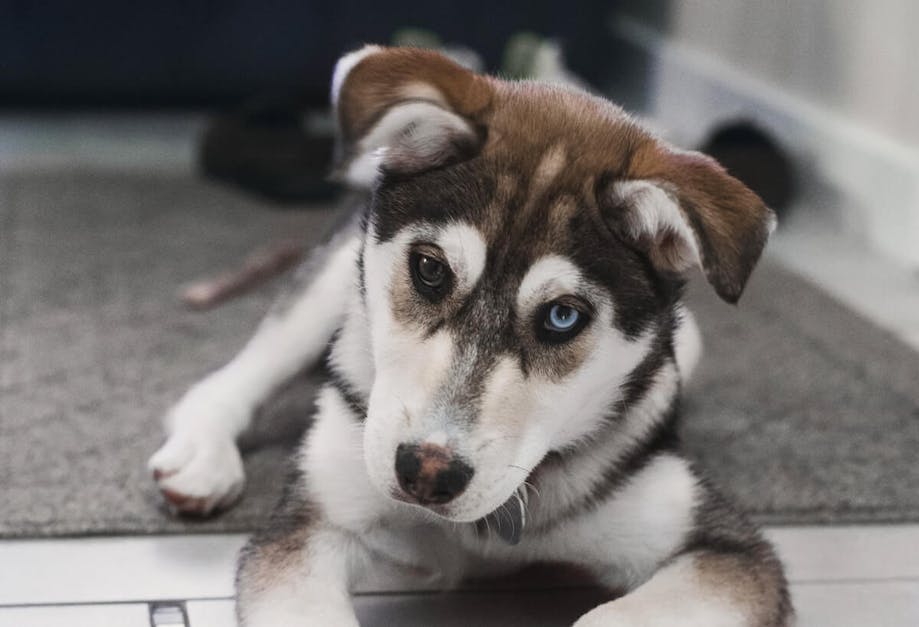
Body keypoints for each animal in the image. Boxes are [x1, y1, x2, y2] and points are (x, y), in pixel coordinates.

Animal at [149, 45, 792, 627]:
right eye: (430, 269)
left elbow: (611, 615)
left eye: (563, 316)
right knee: (232, 377)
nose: (427, 473)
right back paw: (202, 456)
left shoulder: (720, 546)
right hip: (331, 288)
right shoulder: (313, 523)